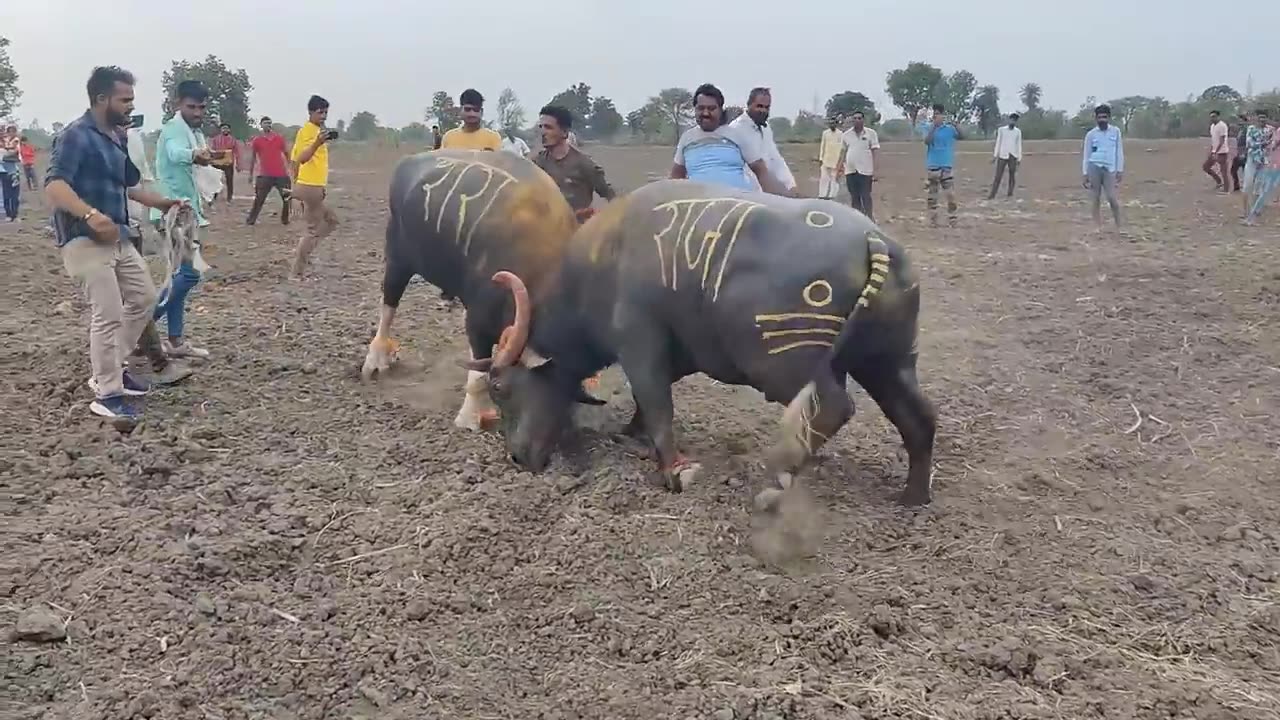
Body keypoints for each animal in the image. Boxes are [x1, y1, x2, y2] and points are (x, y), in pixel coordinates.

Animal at [465, 179, 936, 504]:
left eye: (500, 387)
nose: (516, 457)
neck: (602, 263)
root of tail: (873, 239)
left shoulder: (639, 343)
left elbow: (657, 403)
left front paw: (675, 472)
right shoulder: (680, 353)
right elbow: (648, 402)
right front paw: (631, 432)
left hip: (786, 366)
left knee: (832, 409)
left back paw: (775, 487)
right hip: (888, 361)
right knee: (919, 417)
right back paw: (913, 496)